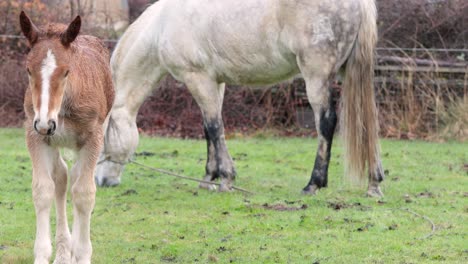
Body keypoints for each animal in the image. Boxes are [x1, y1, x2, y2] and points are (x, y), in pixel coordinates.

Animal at [95, 0, 384, 197]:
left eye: (103, 137)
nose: (100, 181)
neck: (161, 27)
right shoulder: (215, 82)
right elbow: (209, 129)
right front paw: (209, 177)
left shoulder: (197, 78)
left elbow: (214, 128)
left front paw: (226, 178)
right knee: (367, 122)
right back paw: (374, 183)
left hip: (317, 76)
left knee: (326, 122)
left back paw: (314, 183)